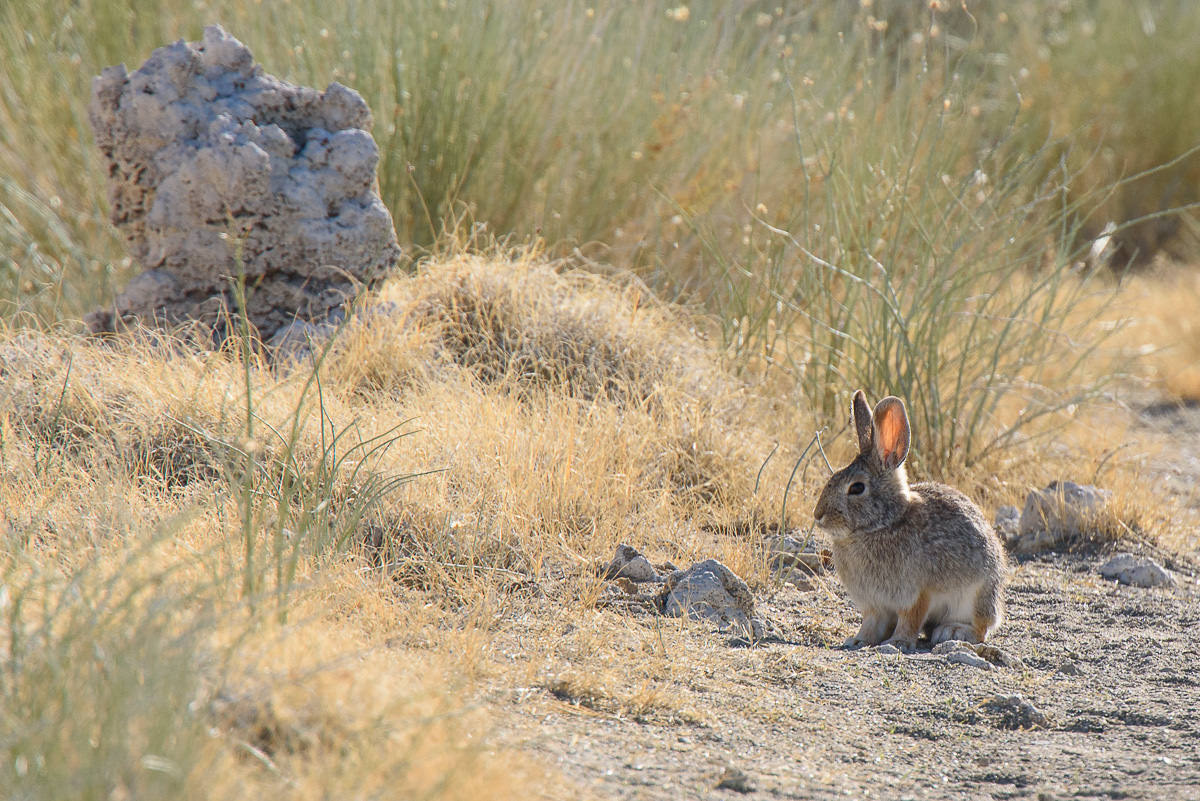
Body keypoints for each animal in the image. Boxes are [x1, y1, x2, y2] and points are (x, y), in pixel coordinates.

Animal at [811, 388, 1008, 652]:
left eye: (857, 488)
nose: (818, 515)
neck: (883, 524)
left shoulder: (916, 593)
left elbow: (910, 618)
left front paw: (898, 642)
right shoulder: (874, 604)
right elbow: (871, 622)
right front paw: (858, 640)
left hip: (977, 595)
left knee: (981, 628)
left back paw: (952, 631)